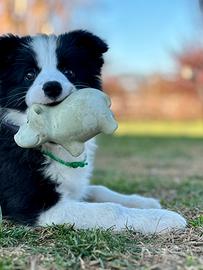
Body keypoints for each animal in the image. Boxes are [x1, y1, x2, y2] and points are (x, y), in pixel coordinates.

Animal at [0, 29, 186, 232]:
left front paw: (142, 202)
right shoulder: (36, 205)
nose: (52, 87)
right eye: (29, 75)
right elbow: (109, 210)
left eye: (69, 72)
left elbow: (98, 189)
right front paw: (162, 218)